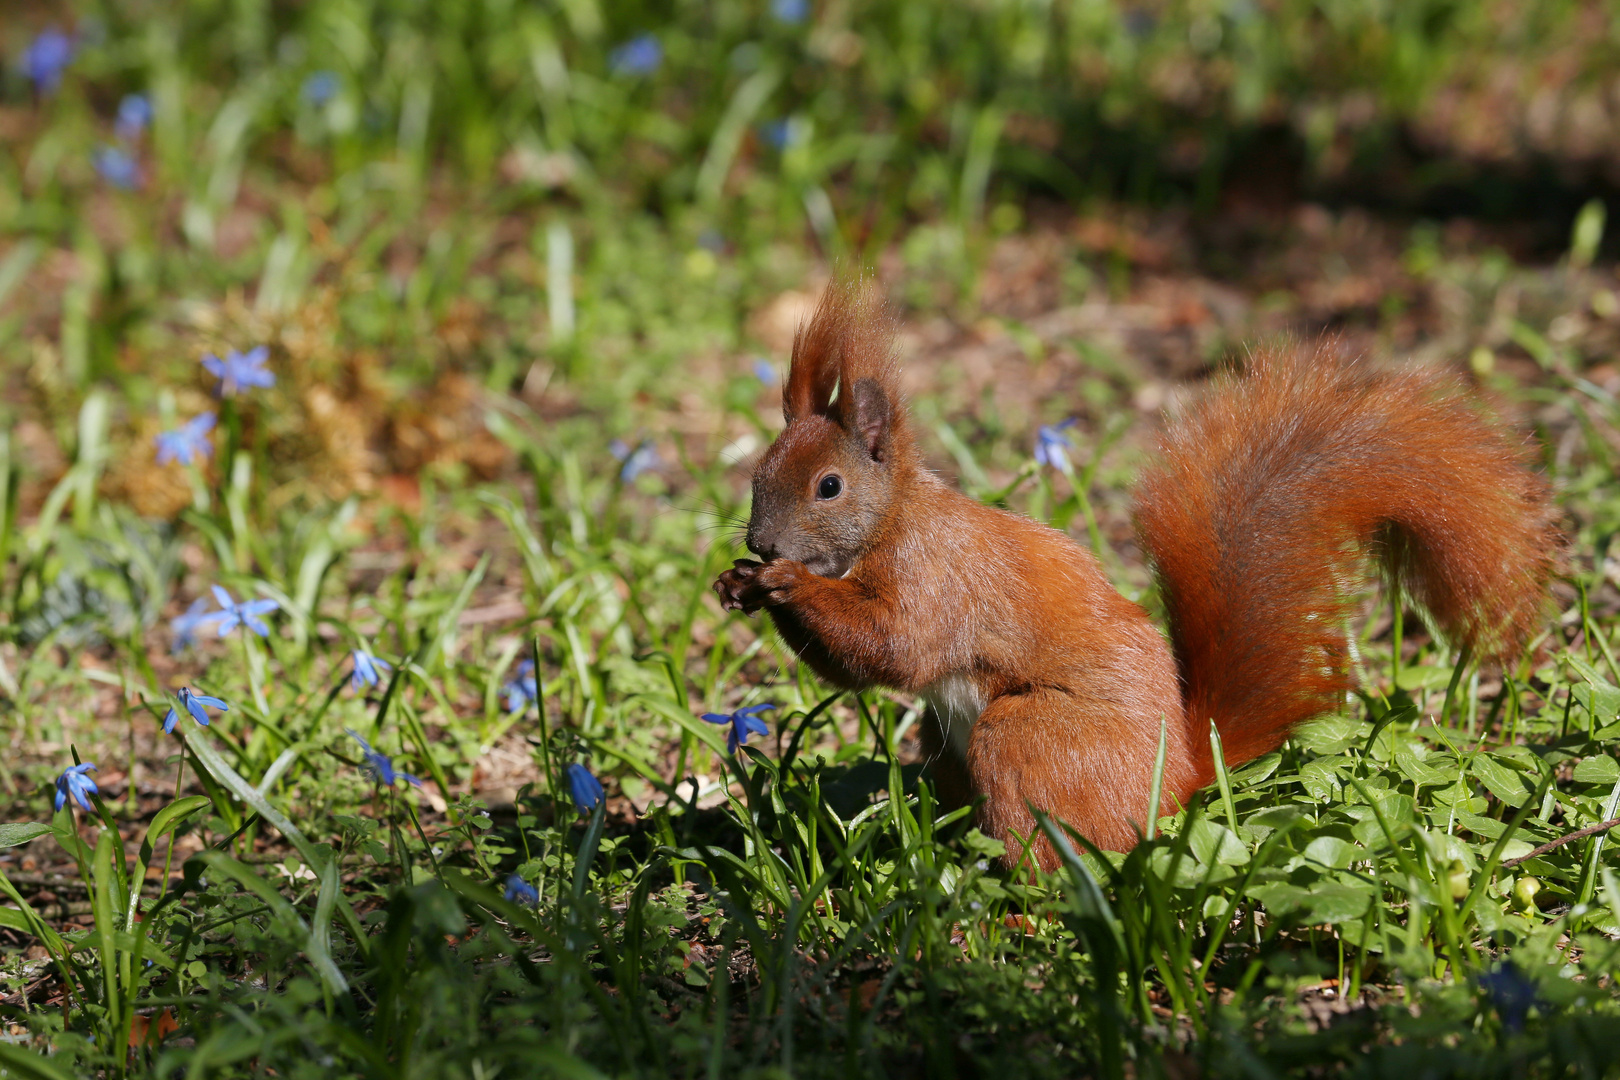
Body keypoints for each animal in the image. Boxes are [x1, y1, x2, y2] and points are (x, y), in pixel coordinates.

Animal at [716, 278, 1561, 867]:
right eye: (758, 471)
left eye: (829, 486)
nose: (760, 542)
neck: (893, 521)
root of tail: (1178, 778)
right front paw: (737, 583)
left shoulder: (938, 577)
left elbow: (895, 648)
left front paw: (788, 585)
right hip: (945, 738)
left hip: (1029, 738)